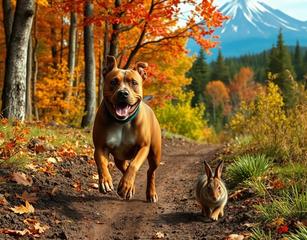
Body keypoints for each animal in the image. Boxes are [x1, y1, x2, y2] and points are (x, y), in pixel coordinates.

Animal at [92, 55, 162, 202]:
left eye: (134, 82)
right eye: (113, 81)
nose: (123, 93)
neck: (122, 123)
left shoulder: (143, 147)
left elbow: (133, 165)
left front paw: (126, 185)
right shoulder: (100, 147)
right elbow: (101, 163)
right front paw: (105, 181)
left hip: (155, 154)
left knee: (150, 171)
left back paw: (150, 193)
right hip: (119, 157)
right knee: (124, 166)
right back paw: (129, 187)